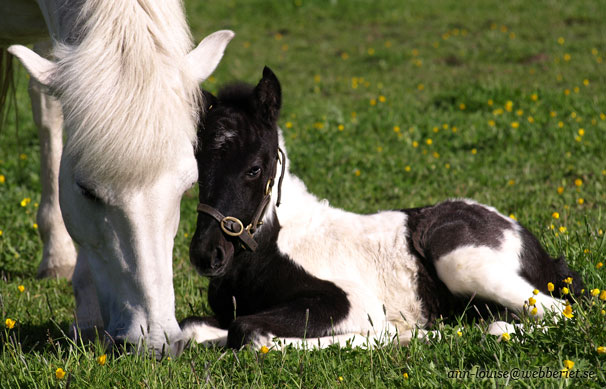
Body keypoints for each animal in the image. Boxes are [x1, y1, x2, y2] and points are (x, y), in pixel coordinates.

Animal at [183, 66, 588, 348]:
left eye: (254, 168)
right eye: (198, 165)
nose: (207, 254)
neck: (269, 247)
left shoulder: (354, 302)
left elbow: (248, 331)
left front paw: (396, 334)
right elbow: (192, 328)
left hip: (465, 263)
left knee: (557, 312)